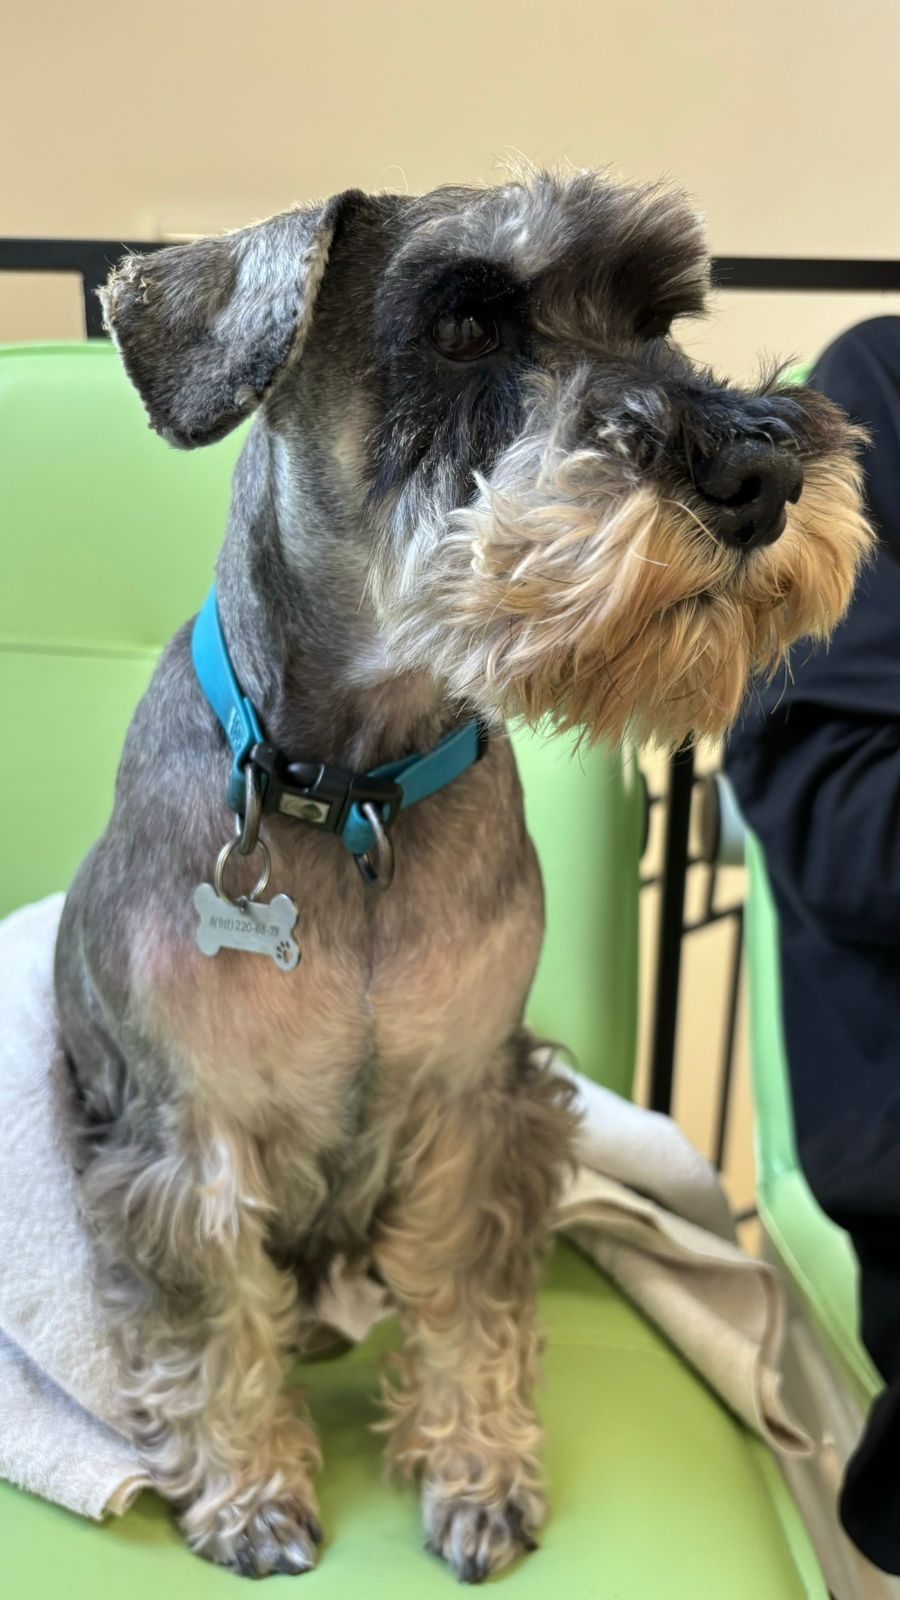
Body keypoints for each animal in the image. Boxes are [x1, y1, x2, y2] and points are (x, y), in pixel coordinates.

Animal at [54, 168, 872, 1582]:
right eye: (463, 328)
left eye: (662, 323)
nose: (762, 468)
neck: (355, 798)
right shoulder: (182, 1133)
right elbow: (214, 1320)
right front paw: (250, 1490)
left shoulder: (474, 1099)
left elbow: (468, 1295)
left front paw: (477, 1466)